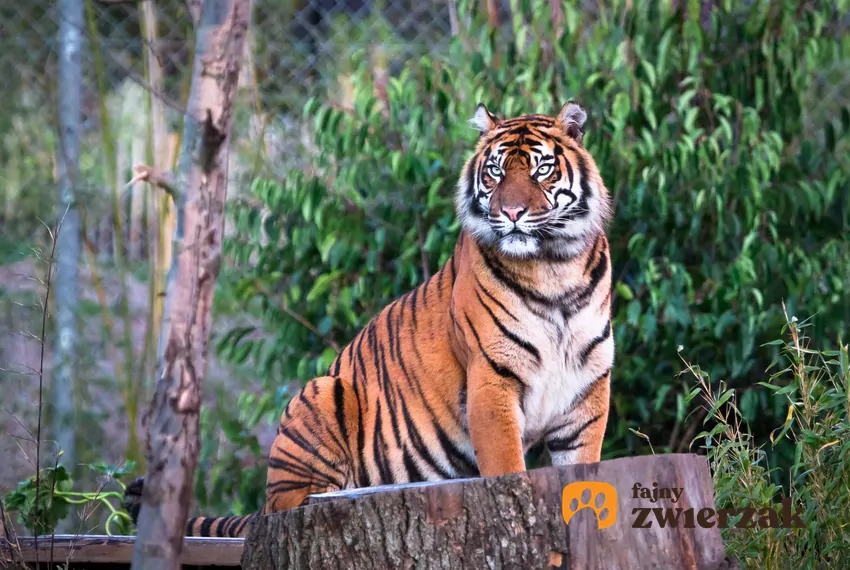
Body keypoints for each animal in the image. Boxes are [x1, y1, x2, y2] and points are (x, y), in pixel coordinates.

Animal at [122, 98, 612, 536]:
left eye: (541, 170)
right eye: (495, 171)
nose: (510, 213)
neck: (554, 268)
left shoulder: (587, 386)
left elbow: (583, 466)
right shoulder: (492, 377)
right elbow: (506, 465)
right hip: (322, 393)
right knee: (288, 504)